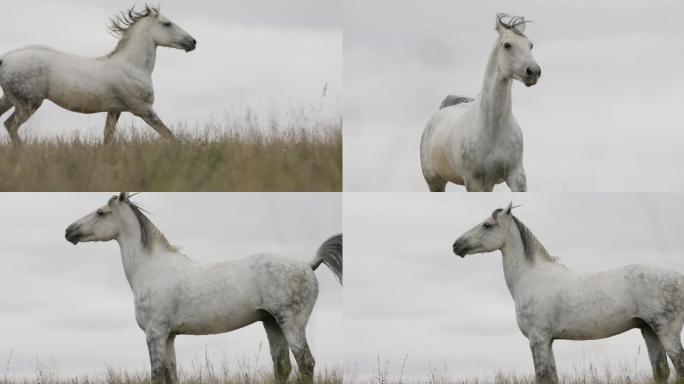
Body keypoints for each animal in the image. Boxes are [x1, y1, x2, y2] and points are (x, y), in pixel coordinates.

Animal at [0, 5, 198, 144]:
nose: (193, 42)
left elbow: (107, 137)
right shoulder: (143, 109)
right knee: (10, 125)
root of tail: (6, 58)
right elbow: (169, 135)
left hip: (9, 100)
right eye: (167, 23)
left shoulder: (115, 110)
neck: (132, 67)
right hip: (28, 104)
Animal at [65, 192, 342, 384]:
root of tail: (308, 264)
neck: (152, 269)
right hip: (272, 323)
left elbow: (157, 375)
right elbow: (171, 375)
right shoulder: (169, 336)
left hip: (291, 324)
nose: (69, 231)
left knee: (305, 364)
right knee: (282, 367)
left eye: (100, 212)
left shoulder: (155, 334)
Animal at [420, 13, 544, 192]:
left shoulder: (516, 176)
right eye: (507, 45)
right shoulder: (474, 182)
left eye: (530, 45)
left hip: (488, 185)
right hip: (435, 183)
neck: (493, 128)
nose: (533, 71)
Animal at [454, 202, 684, 382]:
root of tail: (679, 278)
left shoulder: (537, 339)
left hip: (666, 331)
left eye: (487, 225)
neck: (531, 278)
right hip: (649, 330)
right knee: (661, 372)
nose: (457, 245)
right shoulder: (548, 341)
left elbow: (542, 377)